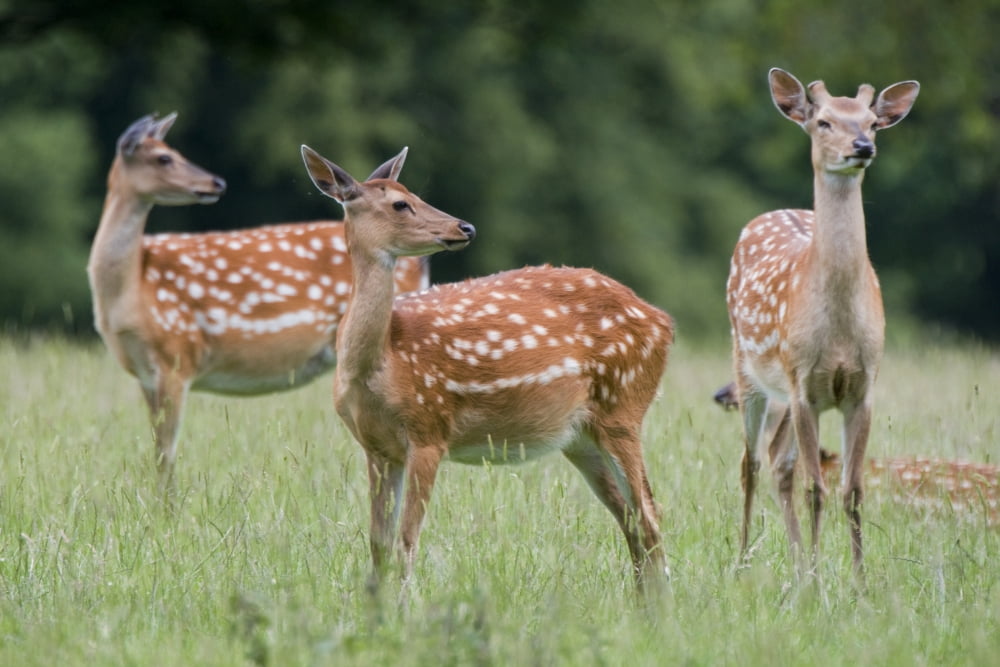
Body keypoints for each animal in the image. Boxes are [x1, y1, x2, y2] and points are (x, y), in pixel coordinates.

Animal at [86, 113, 429, 494]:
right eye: (164, 157)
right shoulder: (146, 372)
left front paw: (166, 504)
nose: (216, 182)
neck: (130, 292)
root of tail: (420, 264)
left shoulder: (177, 354)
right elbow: (158, 447)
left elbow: (166, 451)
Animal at [300, 144, 675, 593]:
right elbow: (378, 545)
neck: (383, 365)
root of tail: (663, 322)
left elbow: (407, 540)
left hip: (624, 407)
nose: (465, 227)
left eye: (413, 193)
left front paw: (403, 607)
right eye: (400, 203)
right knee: (631, 519)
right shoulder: (377, 447)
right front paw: (374, 606)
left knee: (650, 514)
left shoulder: (429, 429)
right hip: (581, 437)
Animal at [727, 68, 919, 575]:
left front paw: (857, 581)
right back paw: (744, 561)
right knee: (751, 464)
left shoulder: (863, 386)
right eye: (824, 122)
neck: (838, 335)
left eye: (872, 122)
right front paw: (820, 580)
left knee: (779, 460)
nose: (862, 147)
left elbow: (852, 491)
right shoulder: (803, 383)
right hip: (749, 370)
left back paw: (797, 565)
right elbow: (817, 488)